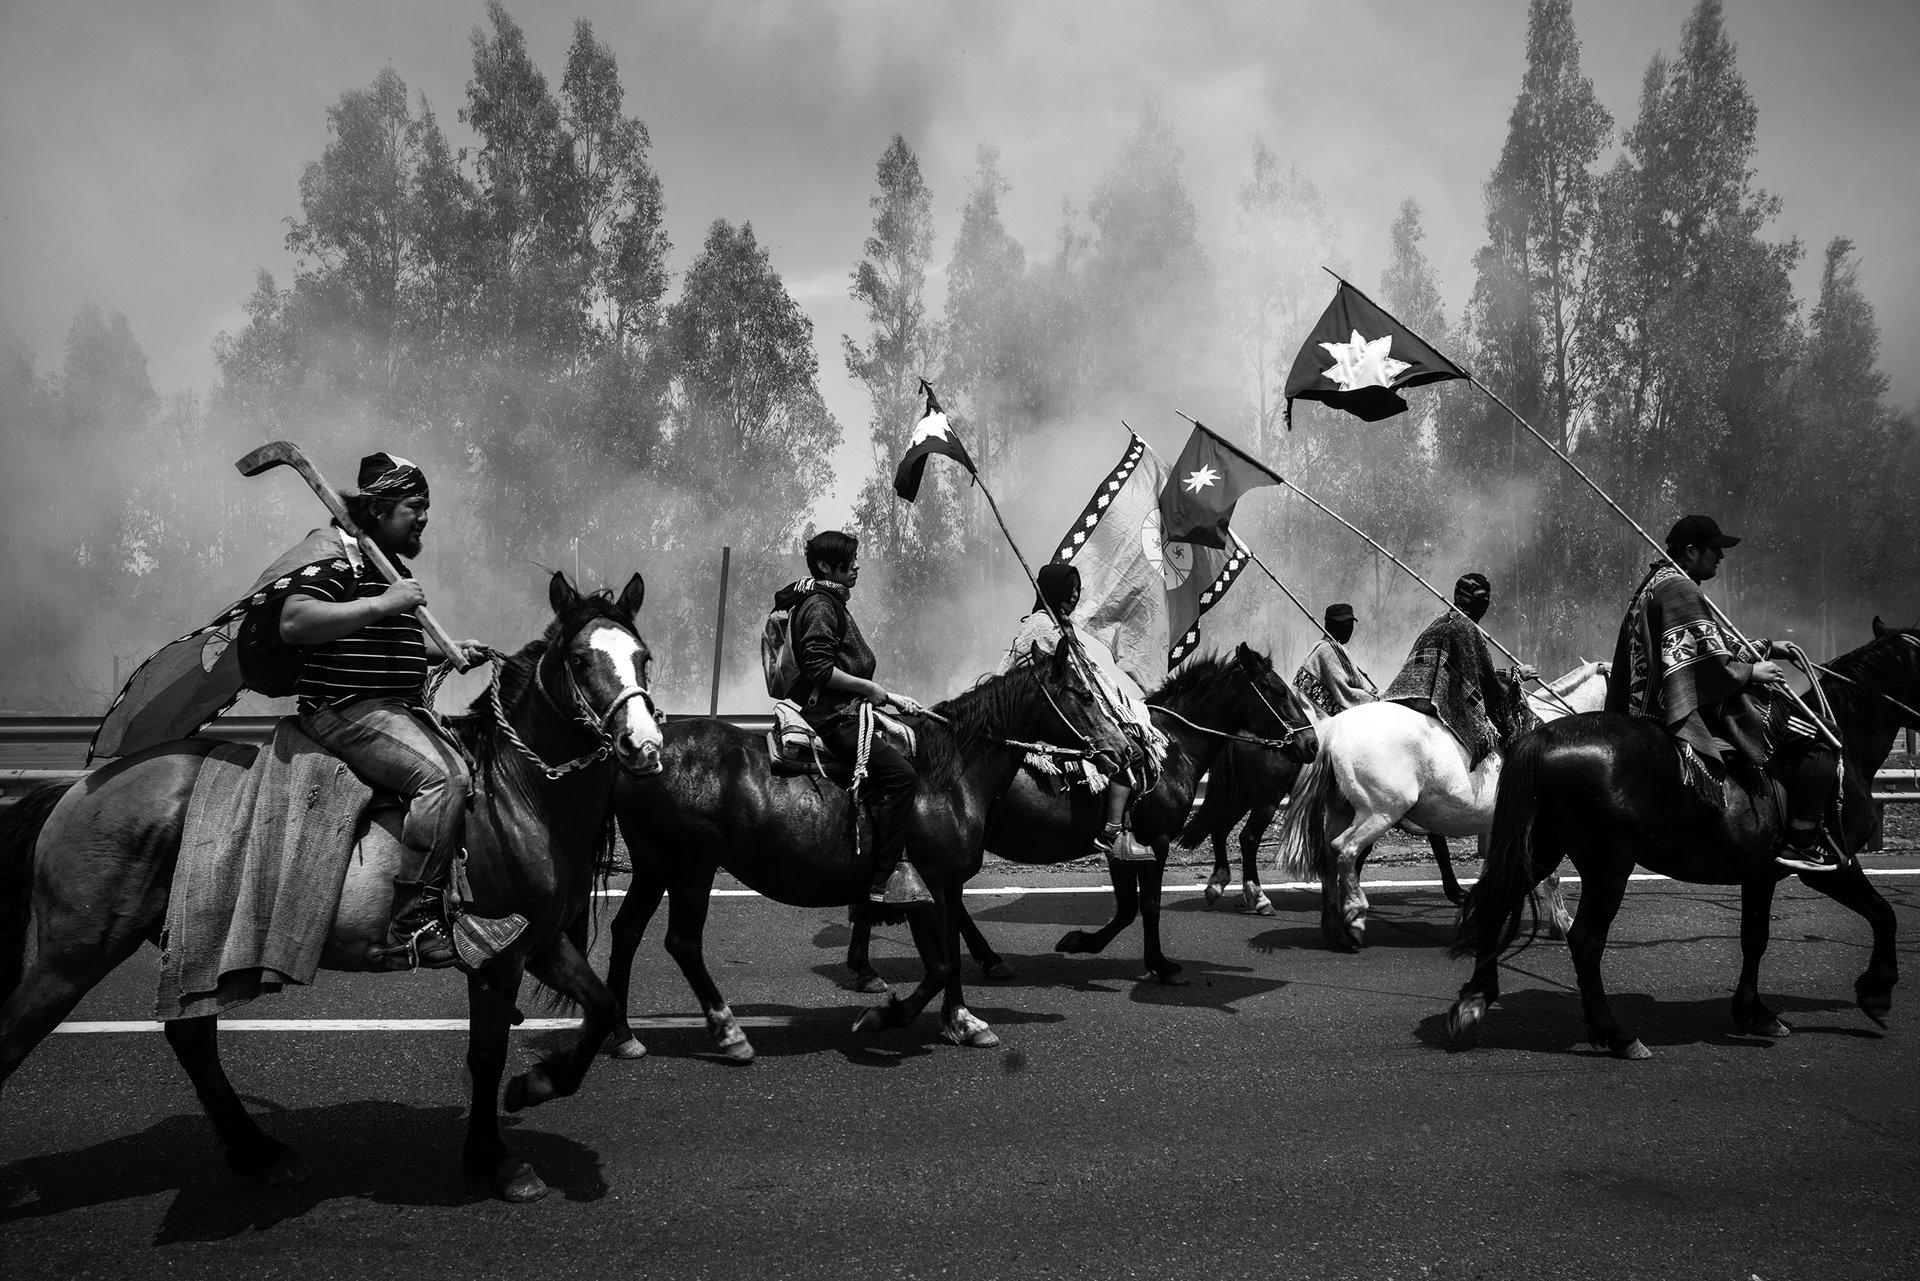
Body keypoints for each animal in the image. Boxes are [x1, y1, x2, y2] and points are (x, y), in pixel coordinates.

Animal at [0, 572, 660, 1206]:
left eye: (643, 656)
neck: (515, 794)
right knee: (16, 1036)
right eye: (580, 659)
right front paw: (497, 1159)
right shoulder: (497, 954)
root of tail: (73, 790)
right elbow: (487, 1055)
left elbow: (601, 1006)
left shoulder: (540, 941)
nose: (644, 746)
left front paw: (536, 1086)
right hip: (77, 951)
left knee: (191, 1036)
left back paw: (262, 1154)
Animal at [599, 641, 1128, 1060]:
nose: (1123, 750)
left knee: (626, 932)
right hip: (691, 868)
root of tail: (640, 757)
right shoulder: (928, 886)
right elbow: (939, 965)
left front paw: (962, 1021)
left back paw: (623, 1035)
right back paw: (729, 1034)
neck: (949, 774)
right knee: (682, 942)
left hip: (653, 866)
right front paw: (882, 1017)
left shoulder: (948, 885)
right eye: (1083, 694)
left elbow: (952, 959)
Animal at [848, 641, 1328, 990]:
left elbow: (1128, 906)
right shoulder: (1154, 840)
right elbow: (1145, 906)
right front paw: (1156, 964)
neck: (1172, 746)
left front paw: (1087, 943)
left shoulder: (1122, 848)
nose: (1311, 745)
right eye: (1279, 691)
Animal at [1282, 660, 1612, 952]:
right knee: (1345, 849)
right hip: (1381, 811)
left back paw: (1335, 929)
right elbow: (1548, 876)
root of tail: (1335, 727)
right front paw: (1562, 923)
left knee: (1328, 855)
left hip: (1343, 810)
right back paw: (1354, 918)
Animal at [1443, 622, 1912, 1060]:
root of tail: (1541, 737)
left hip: (1542, 847)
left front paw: (1755, 1013)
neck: (1846, 744)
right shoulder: (1832, 866)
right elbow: (1884, 915)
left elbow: (1755, 937)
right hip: (1607, 865)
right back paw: (1617, 1035)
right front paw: (1877, 990)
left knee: (1495, 904)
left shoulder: (1760, 874)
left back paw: (1474, 1000)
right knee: (1586, 940)